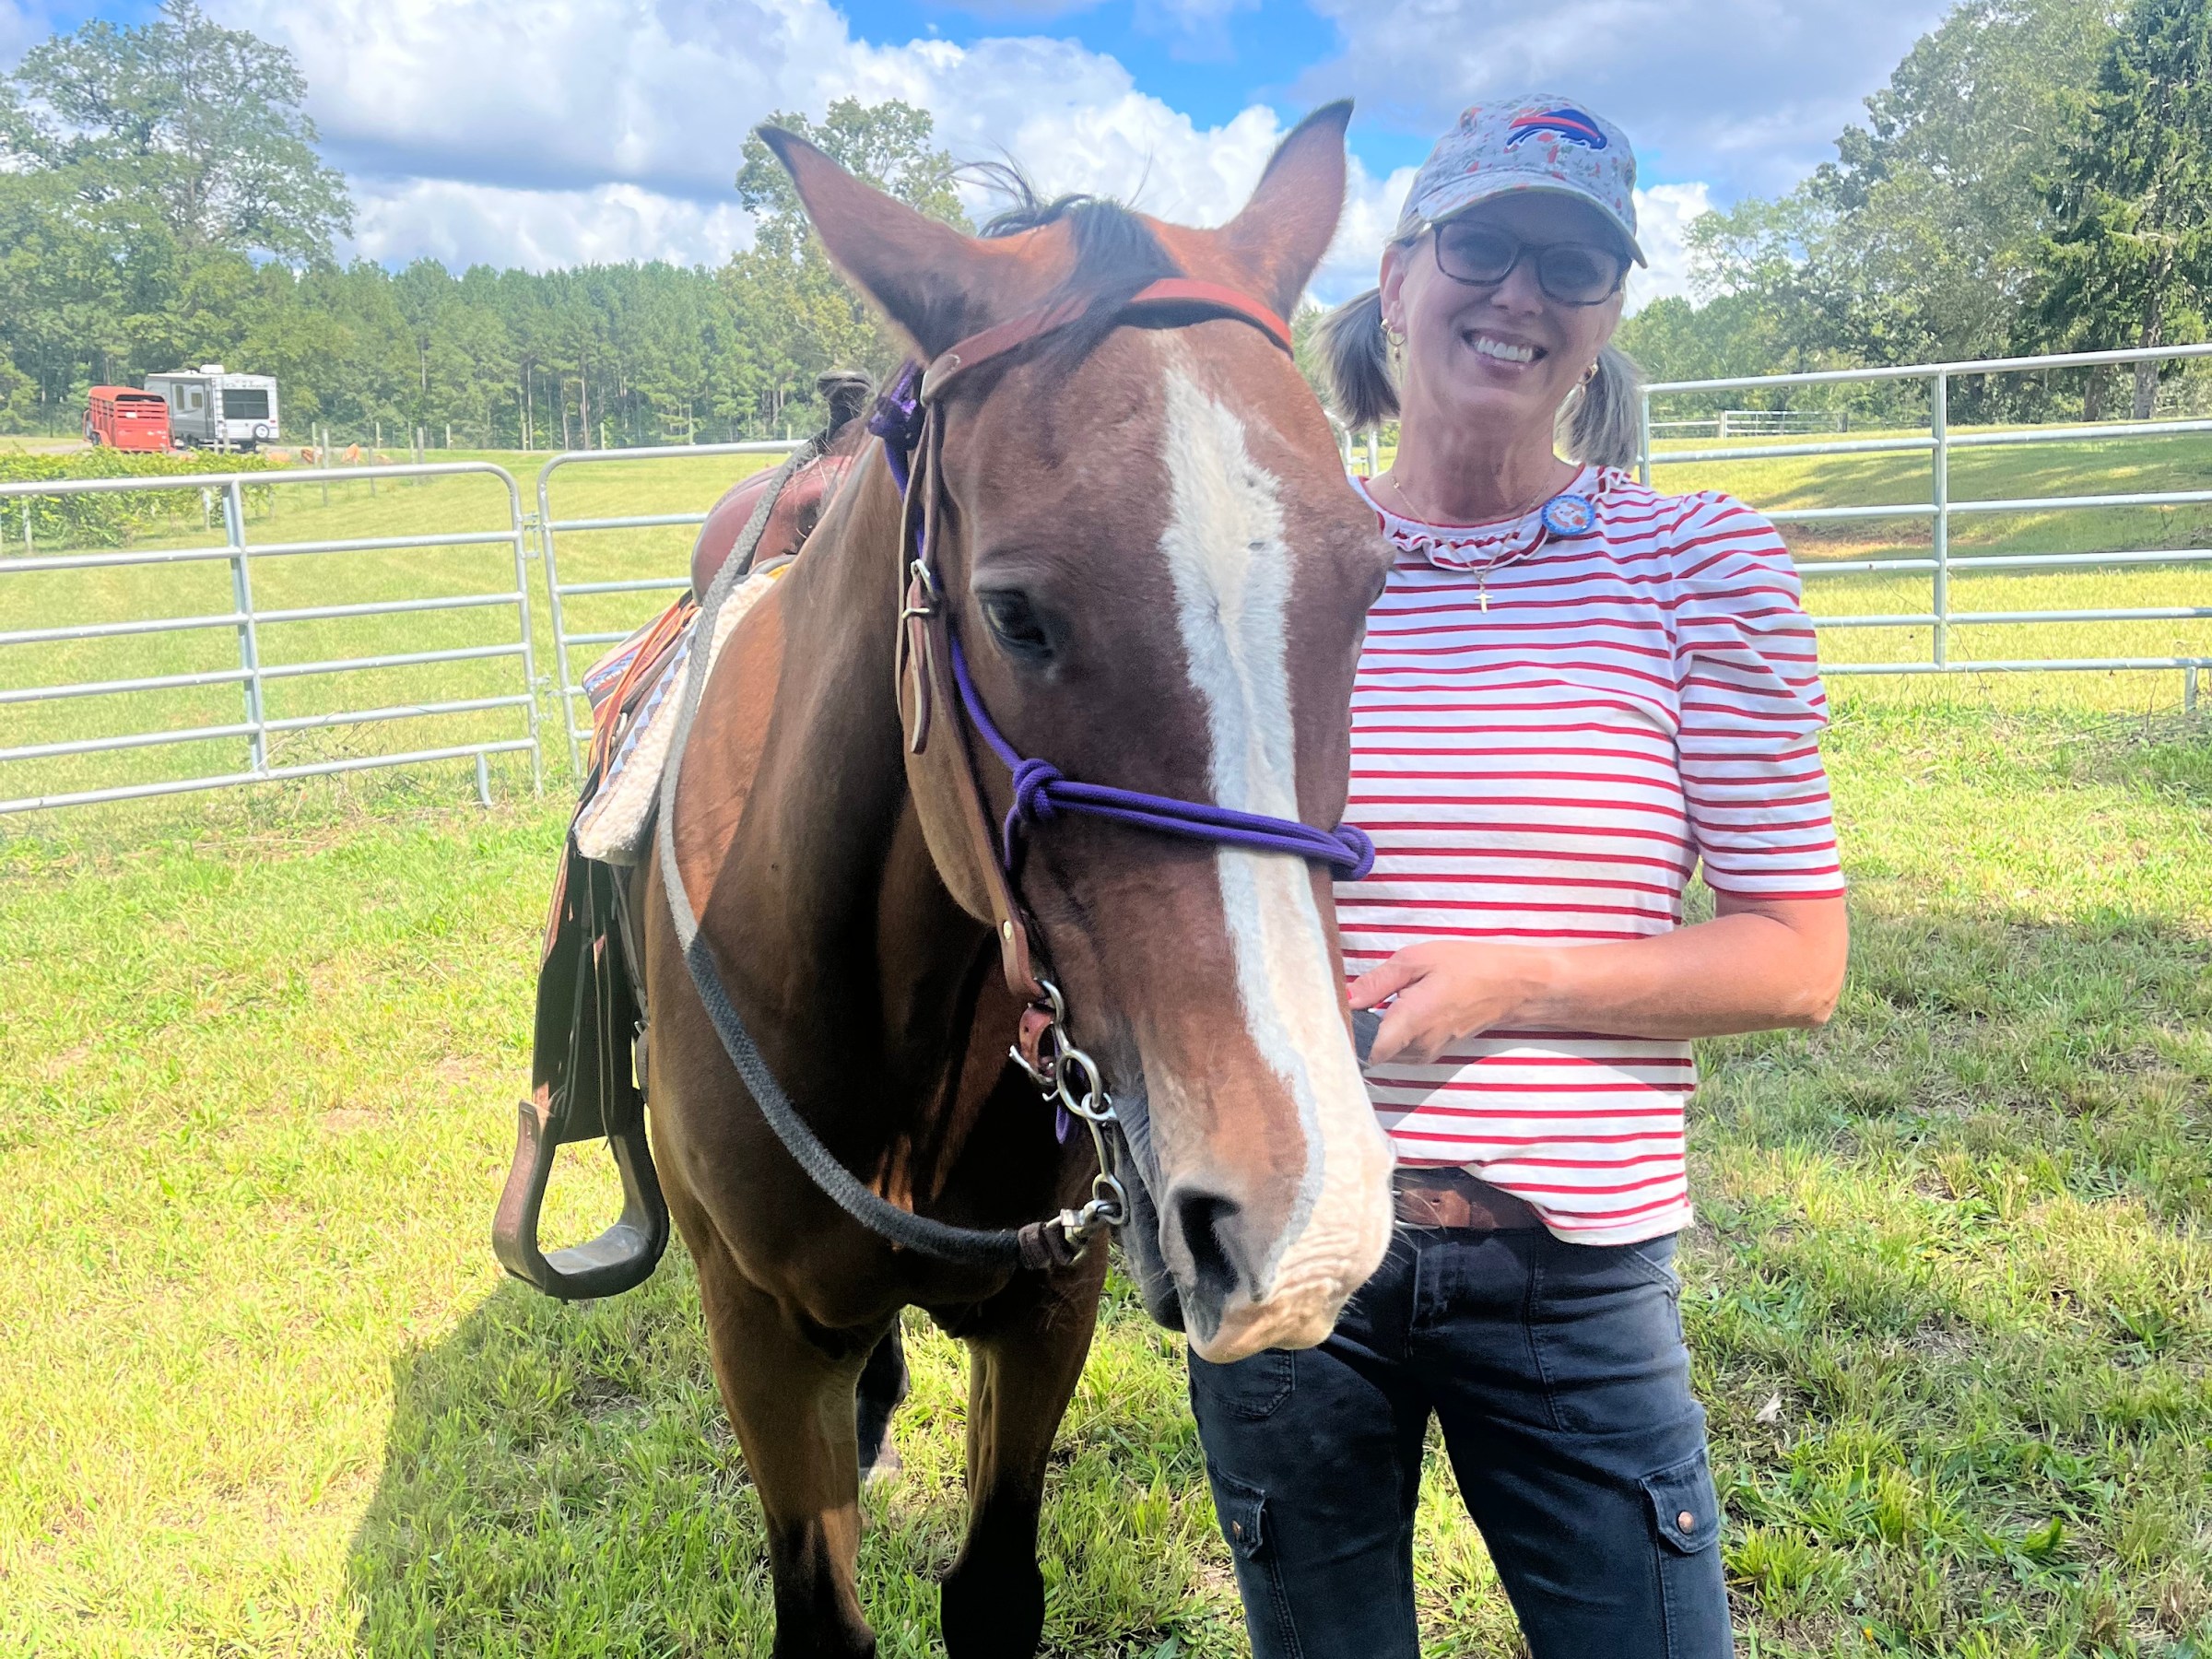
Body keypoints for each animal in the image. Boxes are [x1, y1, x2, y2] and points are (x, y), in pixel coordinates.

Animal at [639, 103, 1399, 1657]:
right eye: (1012, 613)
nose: (1307, 1217)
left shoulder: (1052, 1305)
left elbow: (994, 1590)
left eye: (1371, 578)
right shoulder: (755, 1332)